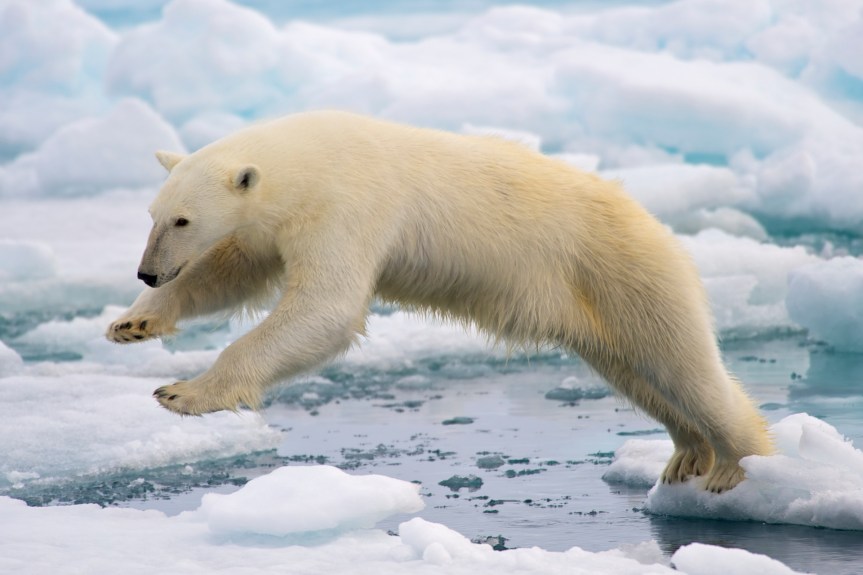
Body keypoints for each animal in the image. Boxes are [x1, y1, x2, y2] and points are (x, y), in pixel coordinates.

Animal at [107, 110, 773, 492]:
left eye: (183, 219)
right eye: (153, 214)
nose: (146, 271)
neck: (309, 158)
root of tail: (655, 224)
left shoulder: (349, 204)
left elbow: (326, 307)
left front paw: (183, 392)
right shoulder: (276, 223)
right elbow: (232, 271)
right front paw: (133, 323)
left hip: (623, 271)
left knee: (683, 365)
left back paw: (736, 465)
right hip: (596, 306)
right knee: (638, 374)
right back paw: (687, 454)